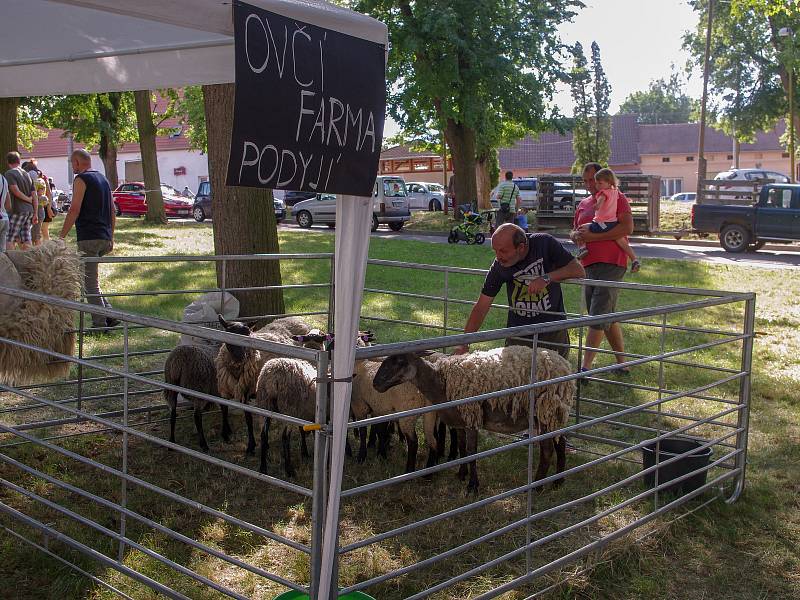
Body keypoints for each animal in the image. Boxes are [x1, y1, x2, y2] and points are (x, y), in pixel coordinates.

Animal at [216, 314, 312, 454]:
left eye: (247, 334)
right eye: (228, 334)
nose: (241, 357)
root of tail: (298, 318)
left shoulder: (247, 392)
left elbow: (248, 418)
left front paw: (251, 445)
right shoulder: (228, 388)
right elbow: (226, 409)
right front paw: (226, 433)